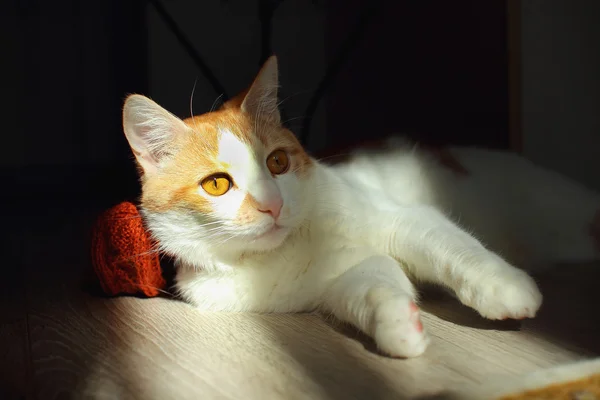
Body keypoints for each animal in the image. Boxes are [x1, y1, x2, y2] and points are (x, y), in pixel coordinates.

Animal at [122, 54, 600, 358]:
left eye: (277, 163)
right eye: (217, 184)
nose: (273, 206)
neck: (286, 251)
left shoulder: (407, 221)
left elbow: (459, 253)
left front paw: (504, 288)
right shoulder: (344, 278)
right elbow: (374, 290)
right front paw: (400, 327)